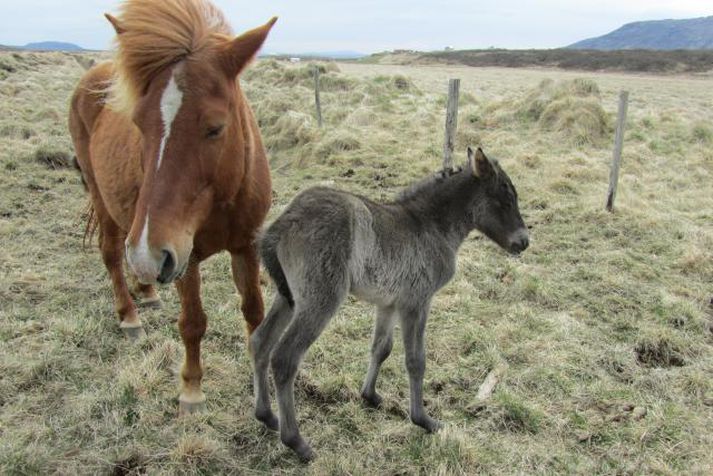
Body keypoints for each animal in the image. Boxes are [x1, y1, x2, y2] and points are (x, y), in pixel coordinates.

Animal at [69, 0, 276, 414]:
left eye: (215, 127)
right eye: (138, 124)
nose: (148, 256)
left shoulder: (246, 244)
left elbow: (254, 311)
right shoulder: (184, 256)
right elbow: (193, 322)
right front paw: (191, 389)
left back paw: (146, 290)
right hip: (105, 201)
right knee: (111, 254)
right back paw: (130, 315)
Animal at [250, 147, 528, 460]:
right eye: (505, 198)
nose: (524, 242)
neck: (431, 225)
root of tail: (283, 223)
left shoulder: (388, 304)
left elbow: (381, 348)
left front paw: (370, 396)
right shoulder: (416, 302)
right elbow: (415, 360)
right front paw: (423, 420)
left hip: (289, 297)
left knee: (260, 341)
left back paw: (267, 416)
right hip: (321, 300)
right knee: (285, 358)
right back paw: (296, 441)